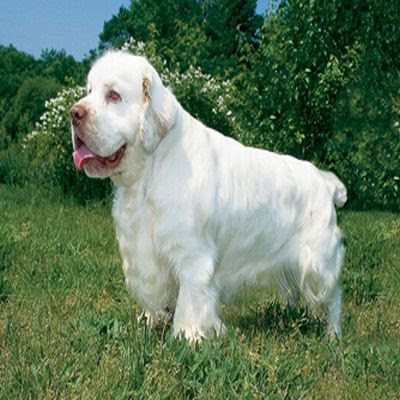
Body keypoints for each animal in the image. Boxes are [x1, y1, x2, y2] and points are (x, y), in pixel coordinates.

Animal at [70, 50, 346, 340]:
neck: (151, 170)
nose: (73, 113)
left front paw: (188, 337)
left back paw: (333, 334)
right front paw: (148, 321)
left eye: (114, 96)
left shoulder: (192, 257)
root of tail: (324, 181)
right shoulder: (145, 254)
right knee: (296, 293)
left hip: (318, 262)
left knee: (333, 296)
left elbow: (190, 304)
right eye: (89, 91)